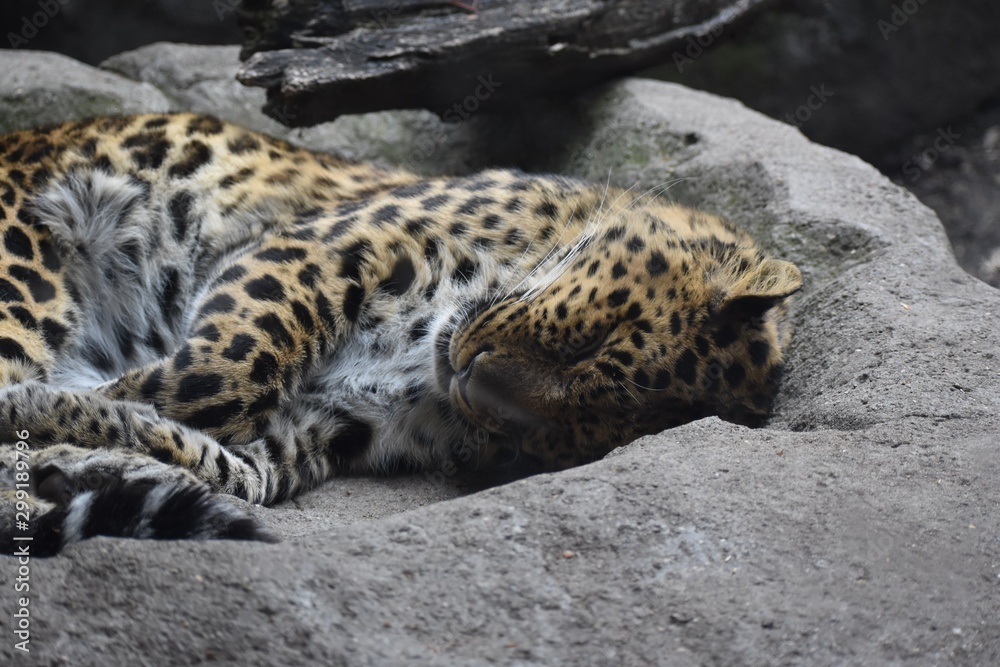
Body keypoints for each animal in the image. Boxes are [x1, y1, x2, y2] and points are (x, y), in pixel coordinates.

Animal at [0, 113, 802, 555]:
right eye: (593, 338)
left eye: (561, 435)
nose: (473, 381)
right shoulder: (320, 247)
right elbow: (225, 373)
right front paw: (68, 408)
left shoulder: (327, 426)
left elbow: (235, 467)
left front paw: (72, 440)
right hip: (24, 260)